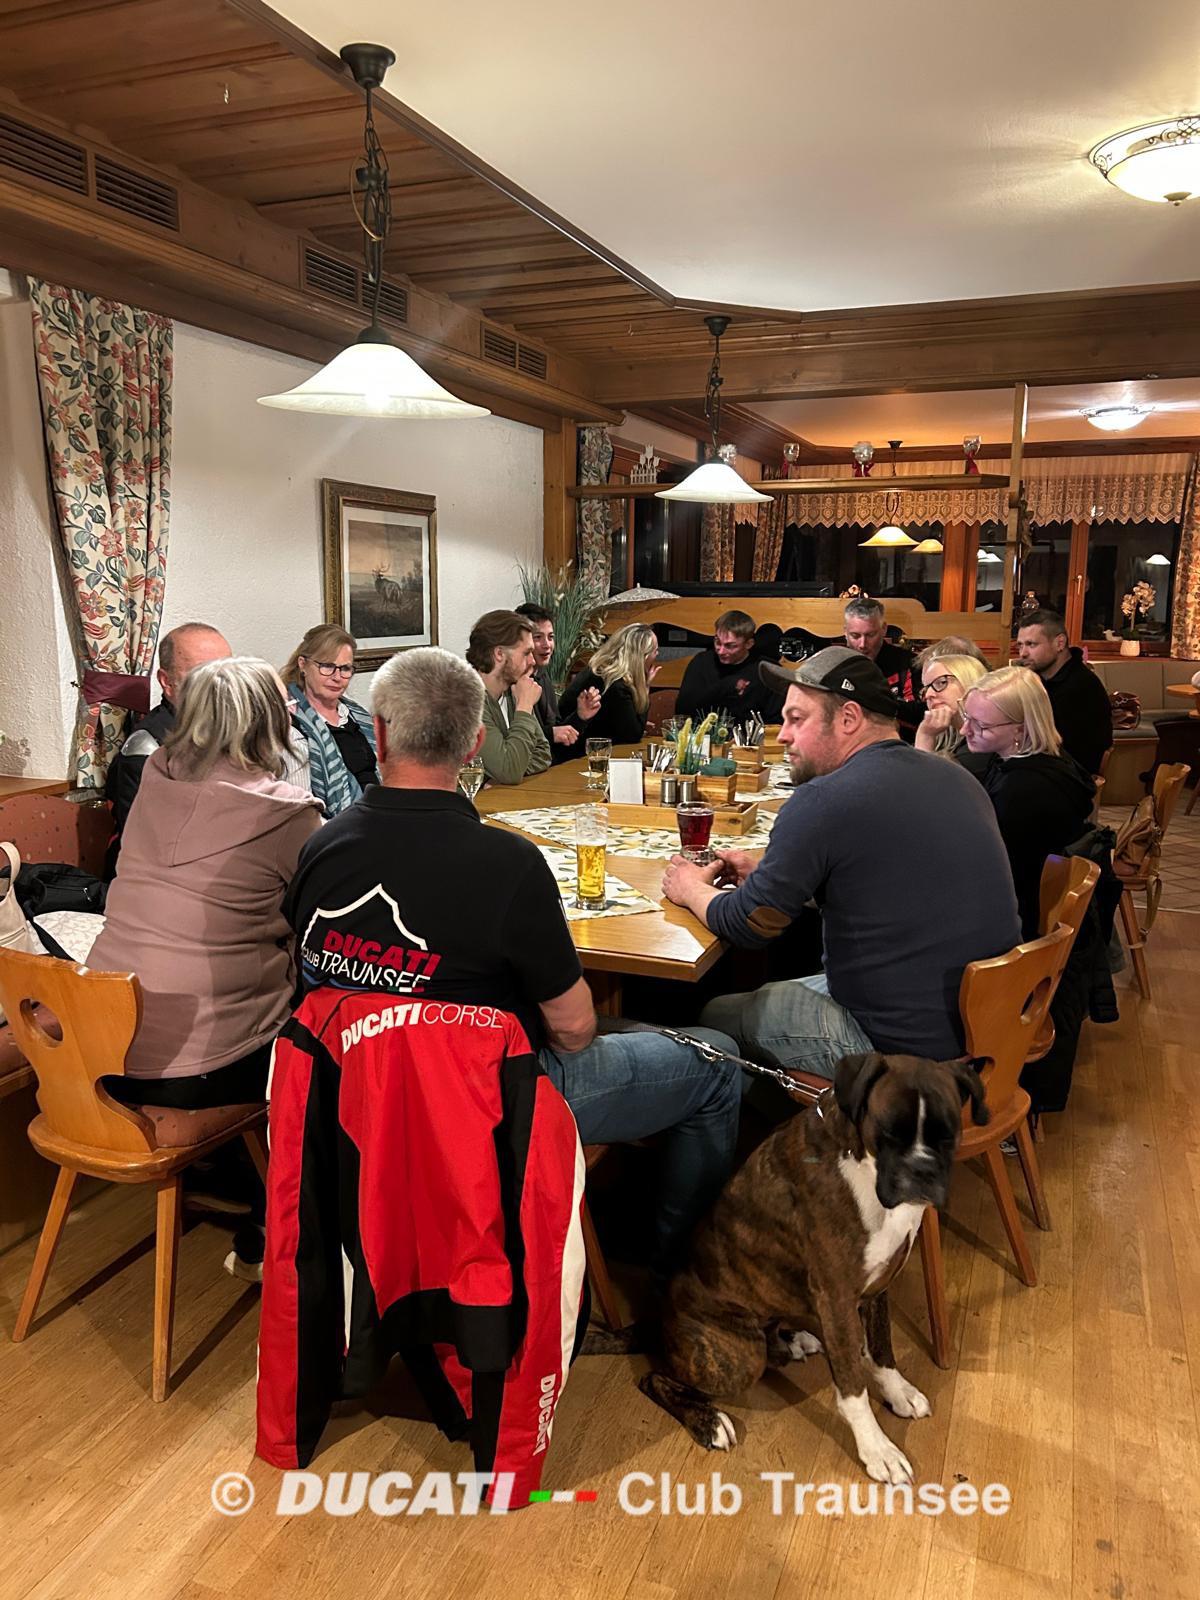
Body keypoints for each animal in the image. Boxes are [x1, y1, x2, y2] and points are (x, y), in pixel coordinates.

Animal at [637, 1051, 988, 1484]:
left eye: (947, 1134)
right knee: (656, 1378)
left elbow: (881, 1350)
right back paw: (709, 1421)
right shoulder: (837, 1299)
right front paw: (877, 1449)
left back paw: (793, 1340)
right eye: (888, 1133)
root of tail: (659, 1321)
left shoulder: (878, 1287)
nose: (921, 1170)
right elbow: (853, 1387)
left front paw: (897, 1391)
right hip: (737, 1358)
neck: (860, 1161)